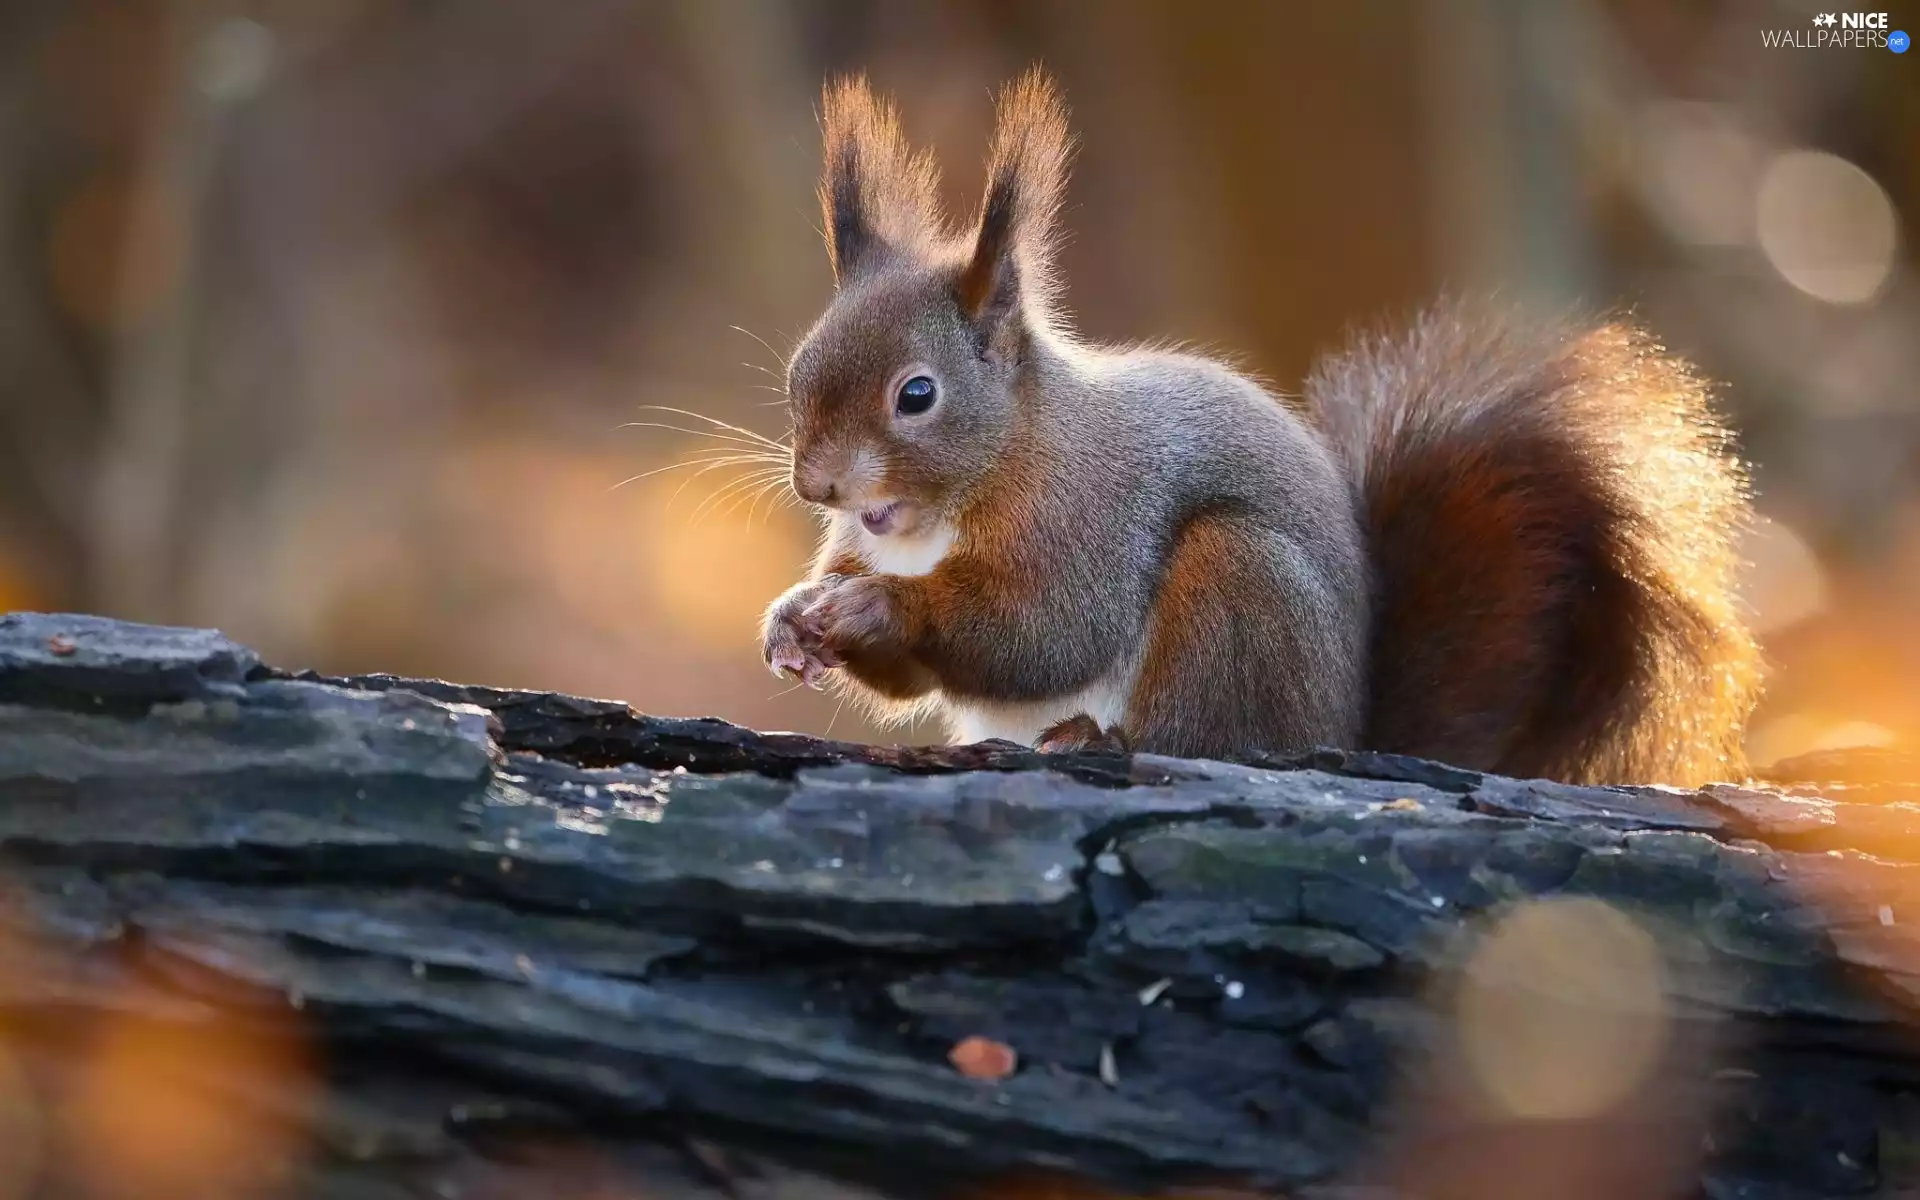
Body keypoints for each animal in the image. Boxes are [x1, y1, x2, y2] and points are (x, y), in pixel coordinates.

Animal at [759, 67, 1762, 787]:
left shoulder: (1091, 515)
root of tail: (1344, 721)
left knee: (1201, 735)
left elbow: (1045, 629)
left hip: (1239, 584)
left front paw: (876, 609)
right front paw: (794, 620)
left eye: (916, 395)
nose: (817, 485)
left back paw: (1098, 736)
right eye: (799, 370)